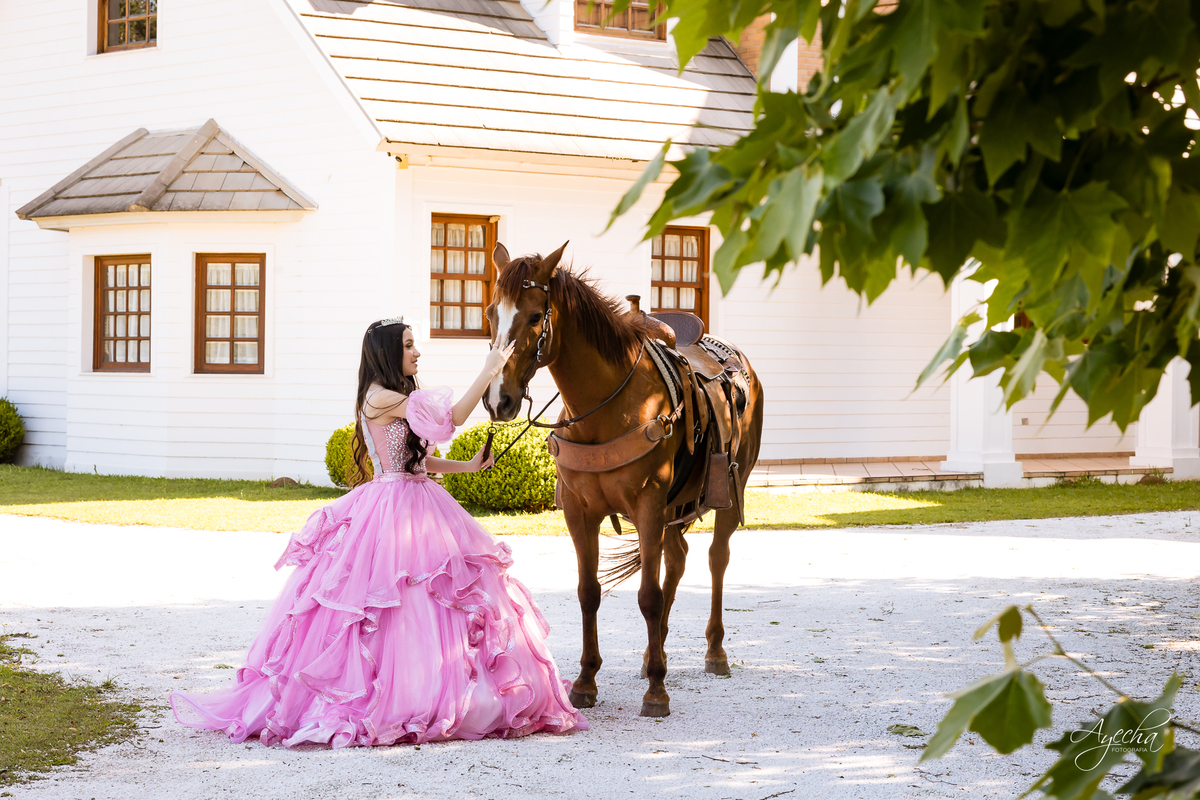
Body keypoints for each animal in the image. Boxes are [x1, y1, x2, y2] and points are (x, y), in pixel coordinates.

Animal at [482, 241, 765, 718]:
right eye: (489, 313)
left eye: (536, 316)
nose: (497, 399)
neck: (606, 407)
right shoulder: (581, 513)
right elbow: (588, 592)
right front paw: (586, 680)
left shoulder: (649, 507)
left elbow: (648, 596)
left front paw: (656, 691)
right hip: (675, 508)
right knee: (678, 559)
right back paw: (656, 653)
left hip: (730, 489)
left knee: (715, 559)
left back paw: (713, 652)